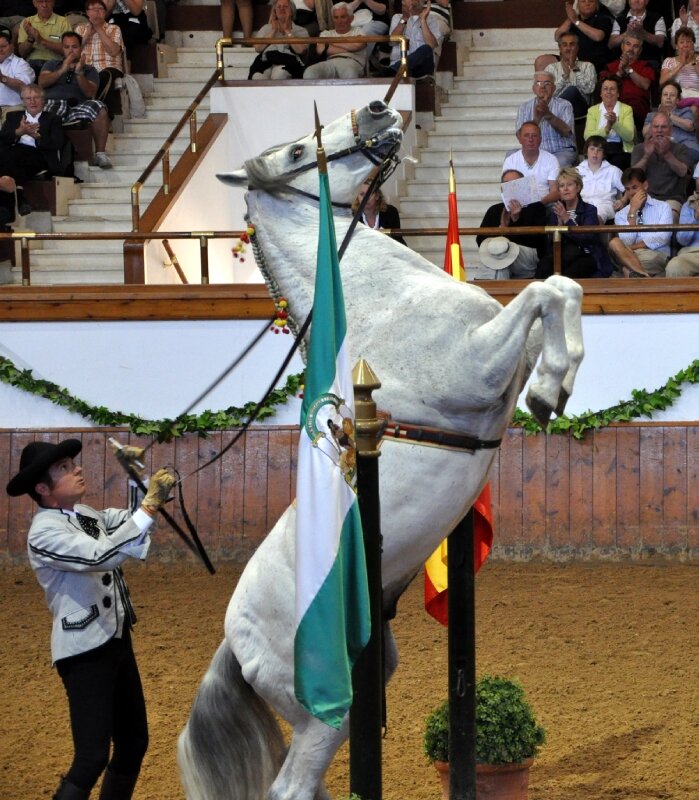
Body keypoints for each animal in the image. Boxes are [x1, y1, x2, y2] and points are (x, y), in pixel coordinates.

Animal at [176, 100, 584, 800]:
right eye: (294, 153)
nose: (375, 108)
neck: (386, 301)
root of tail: (234, 639)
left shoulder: (502, 352)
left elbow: (561, 292)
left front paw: (552, 384)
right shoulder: (475, 366)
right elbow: (547, 290)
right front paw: (550, 389)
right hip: (323, 708)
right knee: (289, 787)